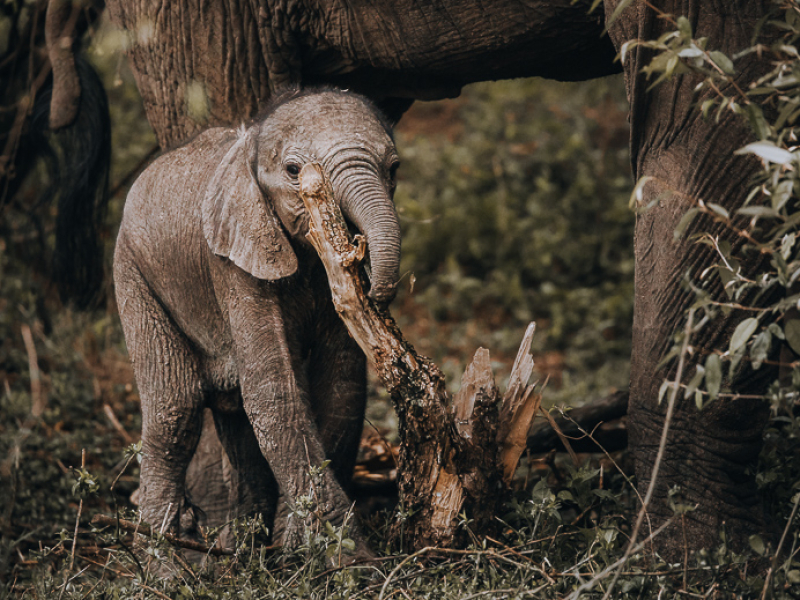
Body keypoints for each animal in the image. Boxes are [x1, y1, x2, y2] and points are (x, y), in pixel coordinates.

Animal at [114, 88, 400, 552]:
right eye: (293, 171)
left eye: (394, 169)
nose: (376, 288)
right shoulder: (231, 262)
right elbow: (274, 393)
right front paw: (353, 560)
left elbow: (340, 386)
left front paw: (294, 546)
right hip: (132, 272)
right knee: (175, 411)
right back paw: (164, 563)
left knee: (234, 417)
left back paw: (240, 551)